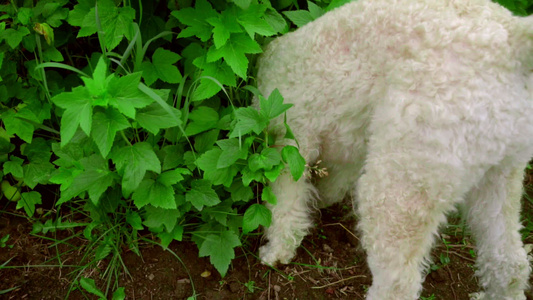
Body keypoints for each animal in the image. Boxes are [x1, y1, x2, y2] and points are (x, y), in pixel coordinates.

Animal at [254, 0, 532, 300]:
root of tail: (513, 41)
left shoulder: (291, 142)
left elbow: (285, 204)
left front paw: (276, 251)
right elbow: (331, 185)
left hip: (399, 189)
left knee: (398, 282)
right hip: (500, 176)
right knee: (511, 261)